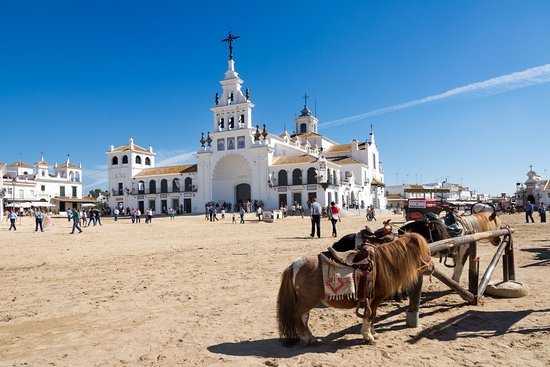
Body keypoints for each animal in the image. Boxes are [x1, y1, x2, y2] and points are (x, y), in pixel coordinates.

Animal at [278, 234, 434, 346]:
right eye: (424, 251)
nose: (432, 267)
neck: (383, 264)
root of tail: (293, 265)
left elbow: (372, 316)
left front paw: (372, 333)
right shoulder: (375, 299)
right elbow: (370, 316)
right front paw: (368, 336)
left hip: (307, 302)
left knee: (303, 318)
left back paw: (311, 338)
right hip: (307, 301)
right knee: (297, 316)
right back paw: (306, 339)